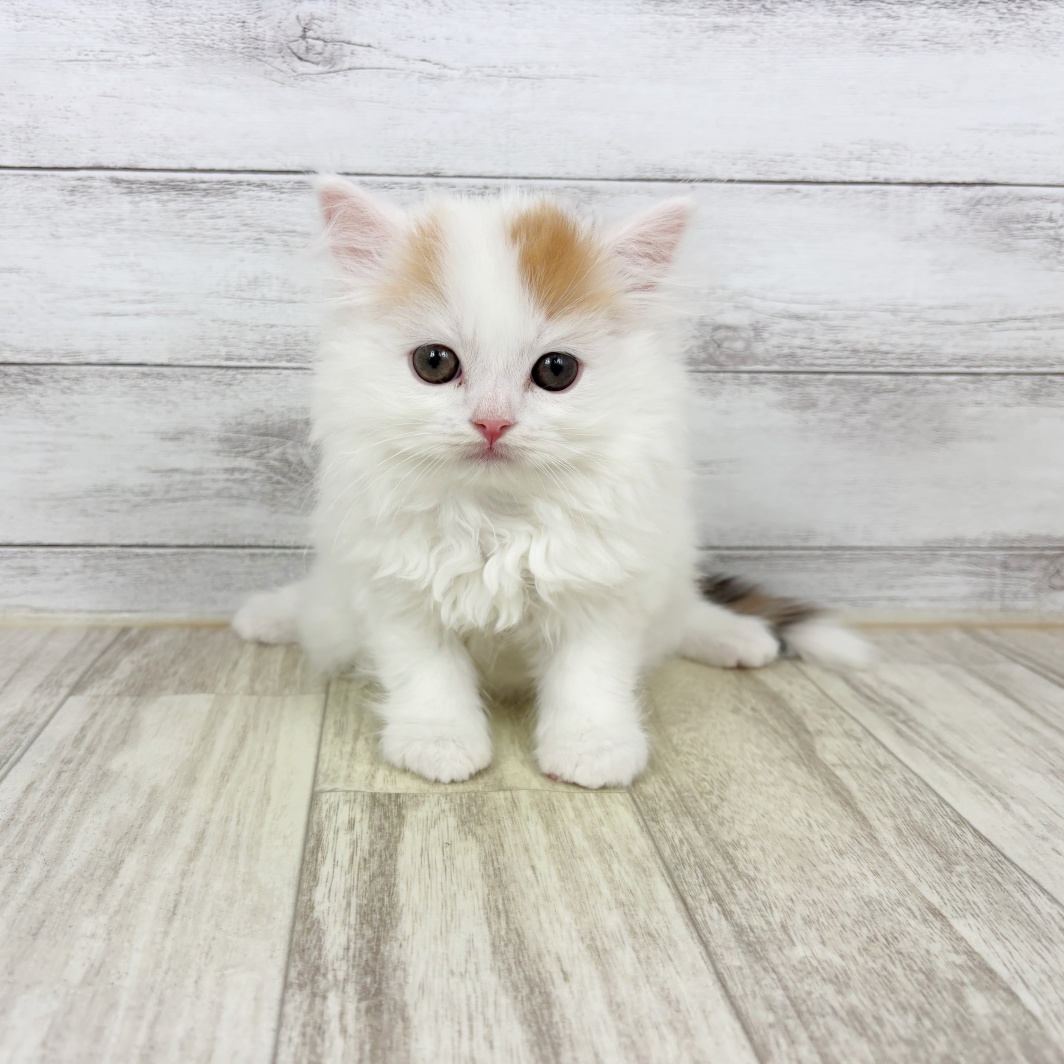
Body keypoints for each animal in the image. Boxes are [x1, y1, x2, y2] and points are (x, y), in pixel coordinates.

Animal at [233, 175, 870, 788]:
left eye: (556, 371)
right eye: (434, 362)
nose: (492, 422)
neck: (498, 517)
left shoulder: (605, 588)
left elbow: (590, 678)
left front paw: (593, 749)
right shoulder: (396, 588)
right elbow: (428, 672)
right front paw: (439, 741)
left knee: (681, 613)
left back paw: (739, 638)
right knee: (318, 607)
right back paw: (265, 616)